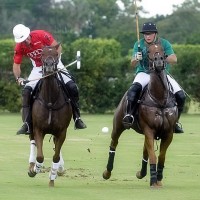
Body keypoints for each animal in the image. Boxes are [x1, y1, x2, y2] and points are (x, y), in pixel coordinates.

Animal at [27, 44, 72, 187]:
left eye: (56, 55)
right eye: (42, 54)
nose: (49, 66)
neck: (50, 100)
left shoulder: (61, 132)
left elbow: (56, 156)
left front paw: (52, 178)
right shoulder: (38, 129)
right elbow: (40, 156)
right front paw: (35, 168)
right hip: (31, 126)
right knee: (33, 142)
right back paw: (32, 166)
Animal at [103, 42, 178, 188]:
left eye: (163, 50)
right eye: (148, 51)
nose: (159, 61)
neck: (159, 99)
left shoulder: (168, 132)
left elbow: (161, 156)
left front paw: (158, 178)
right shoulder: (149, 129)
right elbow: (153, 155)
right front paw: (154, 181)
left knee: (145, 151)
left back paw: (142, 173)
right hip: (118, 125)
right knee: (114, 143)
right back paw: (107, 172)